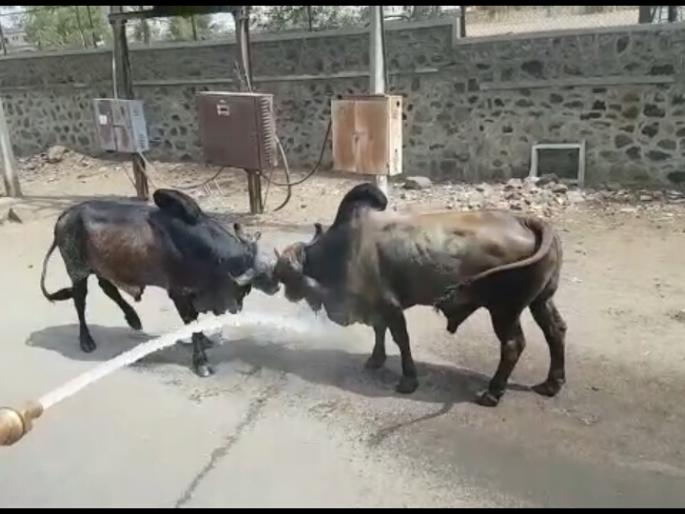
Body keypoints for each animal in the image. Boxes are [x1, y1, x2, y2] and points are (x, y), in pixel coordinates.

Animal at [40, 188, 280, 377]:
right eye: (260, 274)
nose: (276, 285)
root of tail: (65, 214)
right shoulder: (179, 293)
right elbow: (191, 323)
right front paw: (201, 361)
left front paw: (204, 342)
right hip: (77, 270)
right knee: (80, 301)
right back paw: (86, 340)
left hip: (102, 268)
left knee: (108, 288)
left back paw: (133, 319)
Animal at [273, 183, 566, 407]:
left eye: (285, 276)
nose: (285, 294)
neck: (340, 249)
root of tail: (527, 220)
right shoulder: (377, 306)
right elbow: (379, 332)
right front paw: (375, 360)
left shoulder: (390, 306)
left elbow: (401, 340)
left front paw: (408, 380)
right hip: (541, 300)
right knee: (555, 330)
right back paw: (551, 384)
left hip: (504, 309)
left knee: (513, 345)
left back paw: (492, 393)